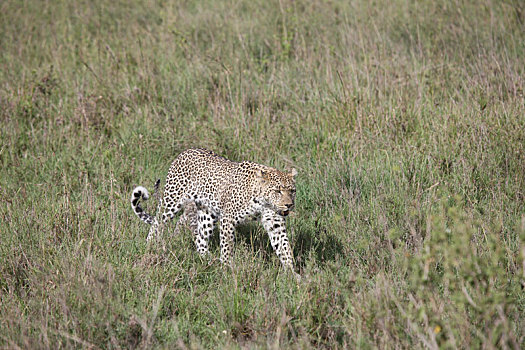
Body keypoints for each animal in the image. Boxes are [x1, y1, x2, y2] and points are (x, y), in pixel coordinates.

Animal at [129, 148, 296, 270]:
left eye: (292, 191)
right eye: (277, 191)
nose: (289, 205)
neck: (263, 201)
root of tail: (184, 152)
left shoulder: (275, 223)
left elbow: (284, 247)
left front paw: (292, 275)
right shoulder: (228, 219)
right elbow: (227, 245)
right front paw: (227, 267)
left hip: (207, 213)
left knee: (200, 237)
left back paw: (207, 258)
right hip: (172, 201)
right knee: (157, 222)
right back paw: (149, 246)